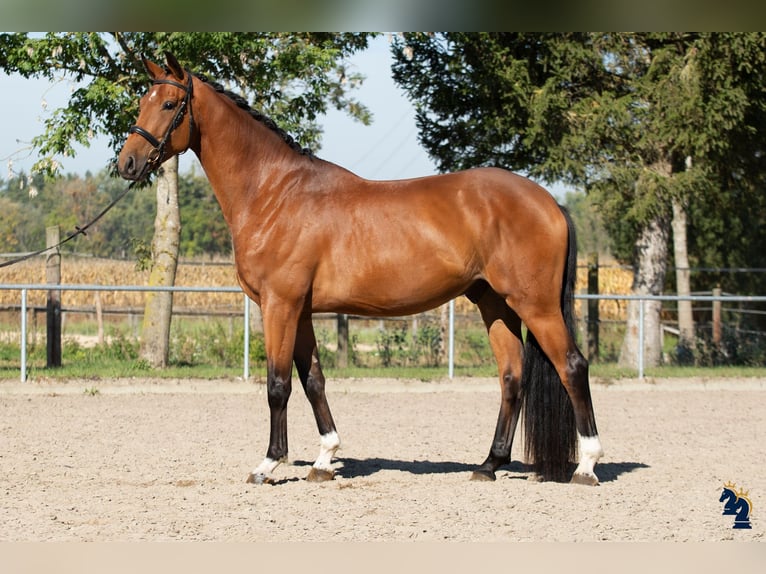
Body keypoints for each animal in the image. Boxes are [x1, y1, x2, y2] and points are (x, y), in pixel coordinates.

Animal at [117, 52, 603, 486]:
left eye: (168, 104)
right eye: (142, 101)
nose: (127, 163)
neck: (275, 192)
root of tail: (549, 201)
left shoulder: (280, 305)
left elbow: (278, 384)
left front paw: (269, 464)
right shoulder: (302, 311)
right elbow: (313, 380)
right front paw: (324, 459)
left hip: (536, 305)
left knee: (572, 366)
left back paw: (586, 466)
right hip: (494, 303)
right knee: (512, 377)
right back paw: (488, 465)